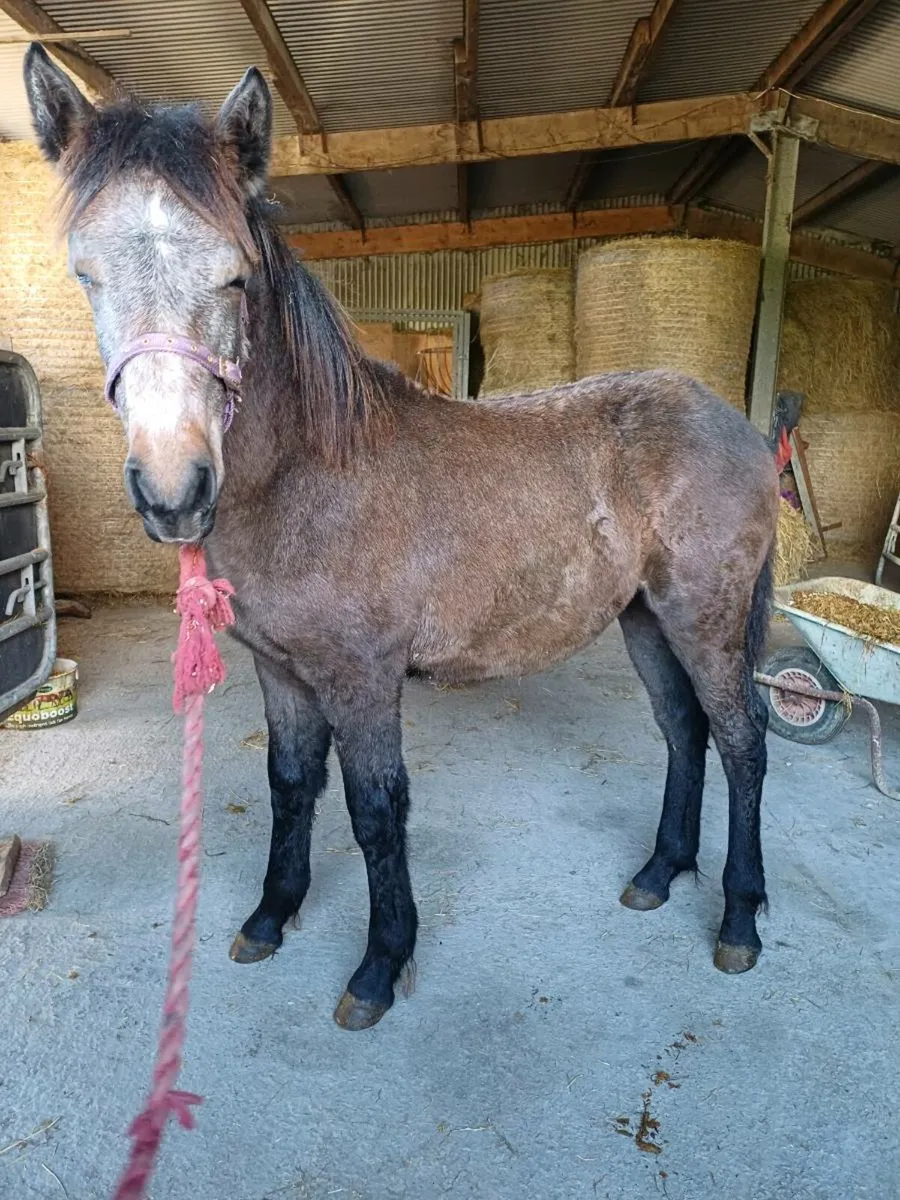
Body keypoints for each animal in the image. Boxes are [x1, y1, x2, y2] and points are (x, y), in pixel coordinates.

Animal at [24, 46, 779, 1031]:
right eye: (87, 275)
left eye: (235, 276)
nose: (173, 489)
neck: (309, 476)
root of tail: (740, 427)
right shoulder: (283, 671)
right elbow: (290, 785)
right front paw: (270, 917)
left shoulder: (363, 678)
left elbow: (376, 809)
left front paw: (380, 966)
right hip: (647, 619)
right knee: (685, 732)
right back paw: (658, 874)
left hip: (706, 620)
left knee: (742, 741)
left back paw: (739, 919)